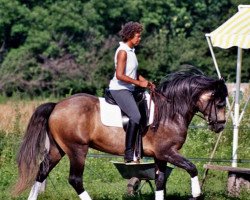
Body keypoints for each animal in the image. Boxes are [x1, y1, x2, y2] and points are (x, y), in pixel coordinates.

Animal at [13, 68, 229, 199]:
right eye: (220, 103)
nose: (220, 126)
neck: (169, 112)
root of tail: (57, 105)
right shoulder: (168, 152)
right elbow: (192, 168)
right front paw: (197, 193)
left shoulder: (160, 156)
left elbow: (160, 181)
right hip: (77, 150)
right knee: (75, 179)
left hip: (58, 149)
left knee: (42, 171)